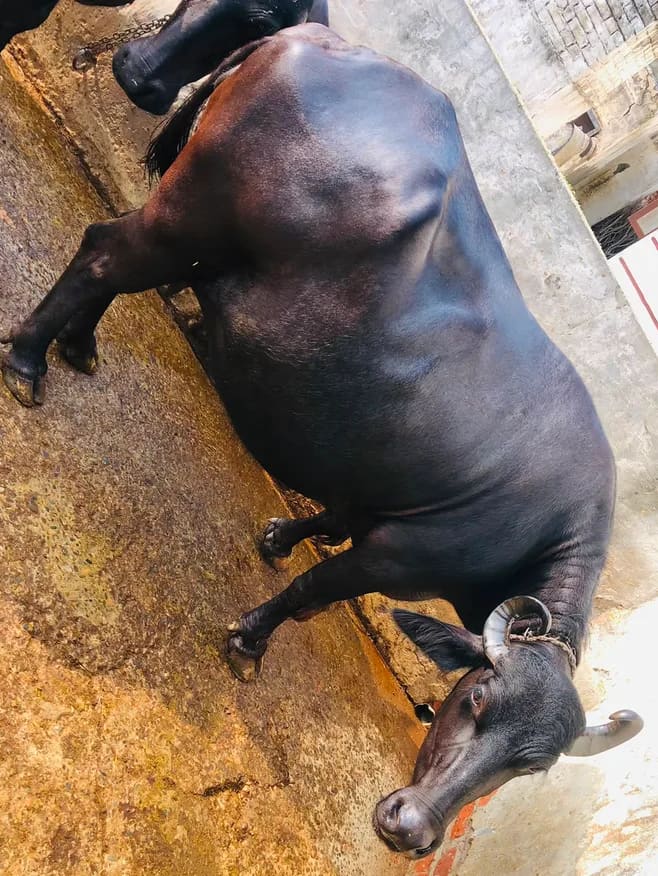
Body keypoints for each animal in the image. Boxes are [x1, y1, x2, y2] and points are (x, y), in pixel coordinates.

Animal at [0, 24, 642, 858]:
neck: (534, 528)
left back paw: (78, 345)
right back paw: (28, 358)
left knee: (113, 270)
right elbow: (313, 590)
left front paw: (278, 535)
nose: (414, 828)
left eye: (527, 766)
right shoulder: (397, 557)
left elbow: (327, 517)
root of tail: (314, 38)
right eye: (476, 699)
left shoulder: (370, 501)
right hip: (187, 220)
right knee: (104, 252)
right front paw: (249, 641)